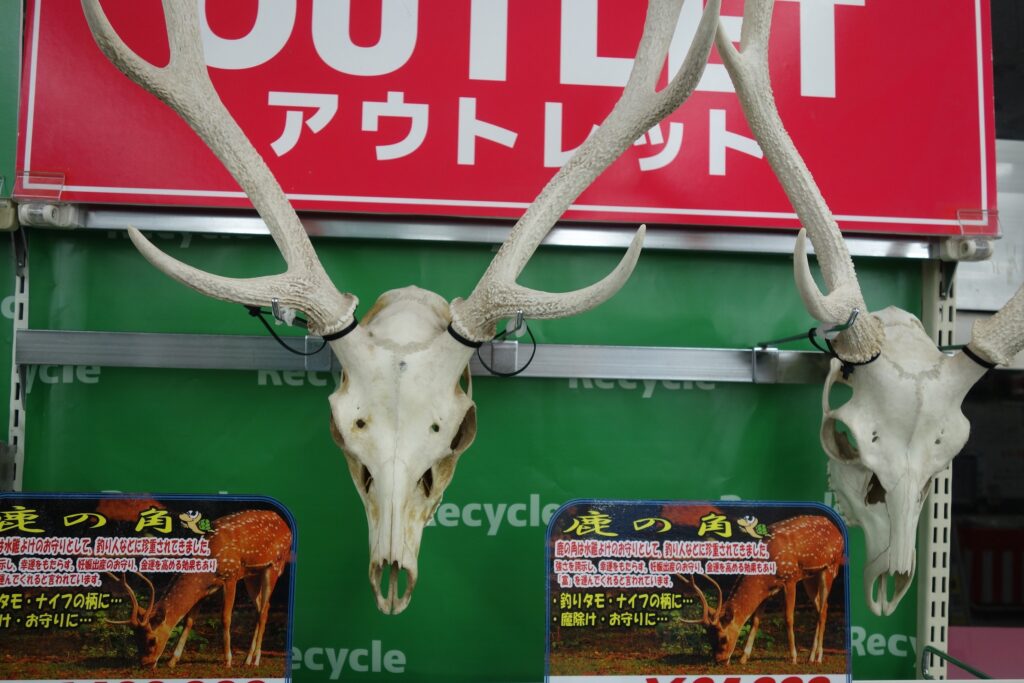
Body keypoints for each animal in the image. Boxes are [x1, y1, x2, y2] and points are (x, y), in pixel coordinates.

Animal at [105, 509, 292, 669]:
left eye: (152, 640)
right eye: (135, 639)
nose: (145, 663)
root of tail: (286, 526)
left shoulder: (230, 575)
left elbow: (225, 618)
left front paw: (228, 661)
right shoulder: (205, 591)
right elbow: (189, 620)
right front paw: (173, 660)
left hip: (275, 565)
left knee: (264, 610)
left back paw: (255, 660)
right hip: (251, 575)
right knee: (262, 608)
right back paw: (247, 659)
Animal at [677, 515, 844, 665]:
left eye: (723, 638)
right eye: (709, 637)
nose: (719, 660)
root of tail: (838, 532)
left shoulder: (790, 578)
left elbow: (788, 618)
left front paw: (793, 658)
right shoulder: (768, 591)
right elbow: (755, 620)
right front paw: (744, 657)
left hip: (830, 567)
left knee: (823, 611)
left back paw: (818, 657)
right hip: (810, 576)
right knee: (822, 608)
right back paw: (810, 656)